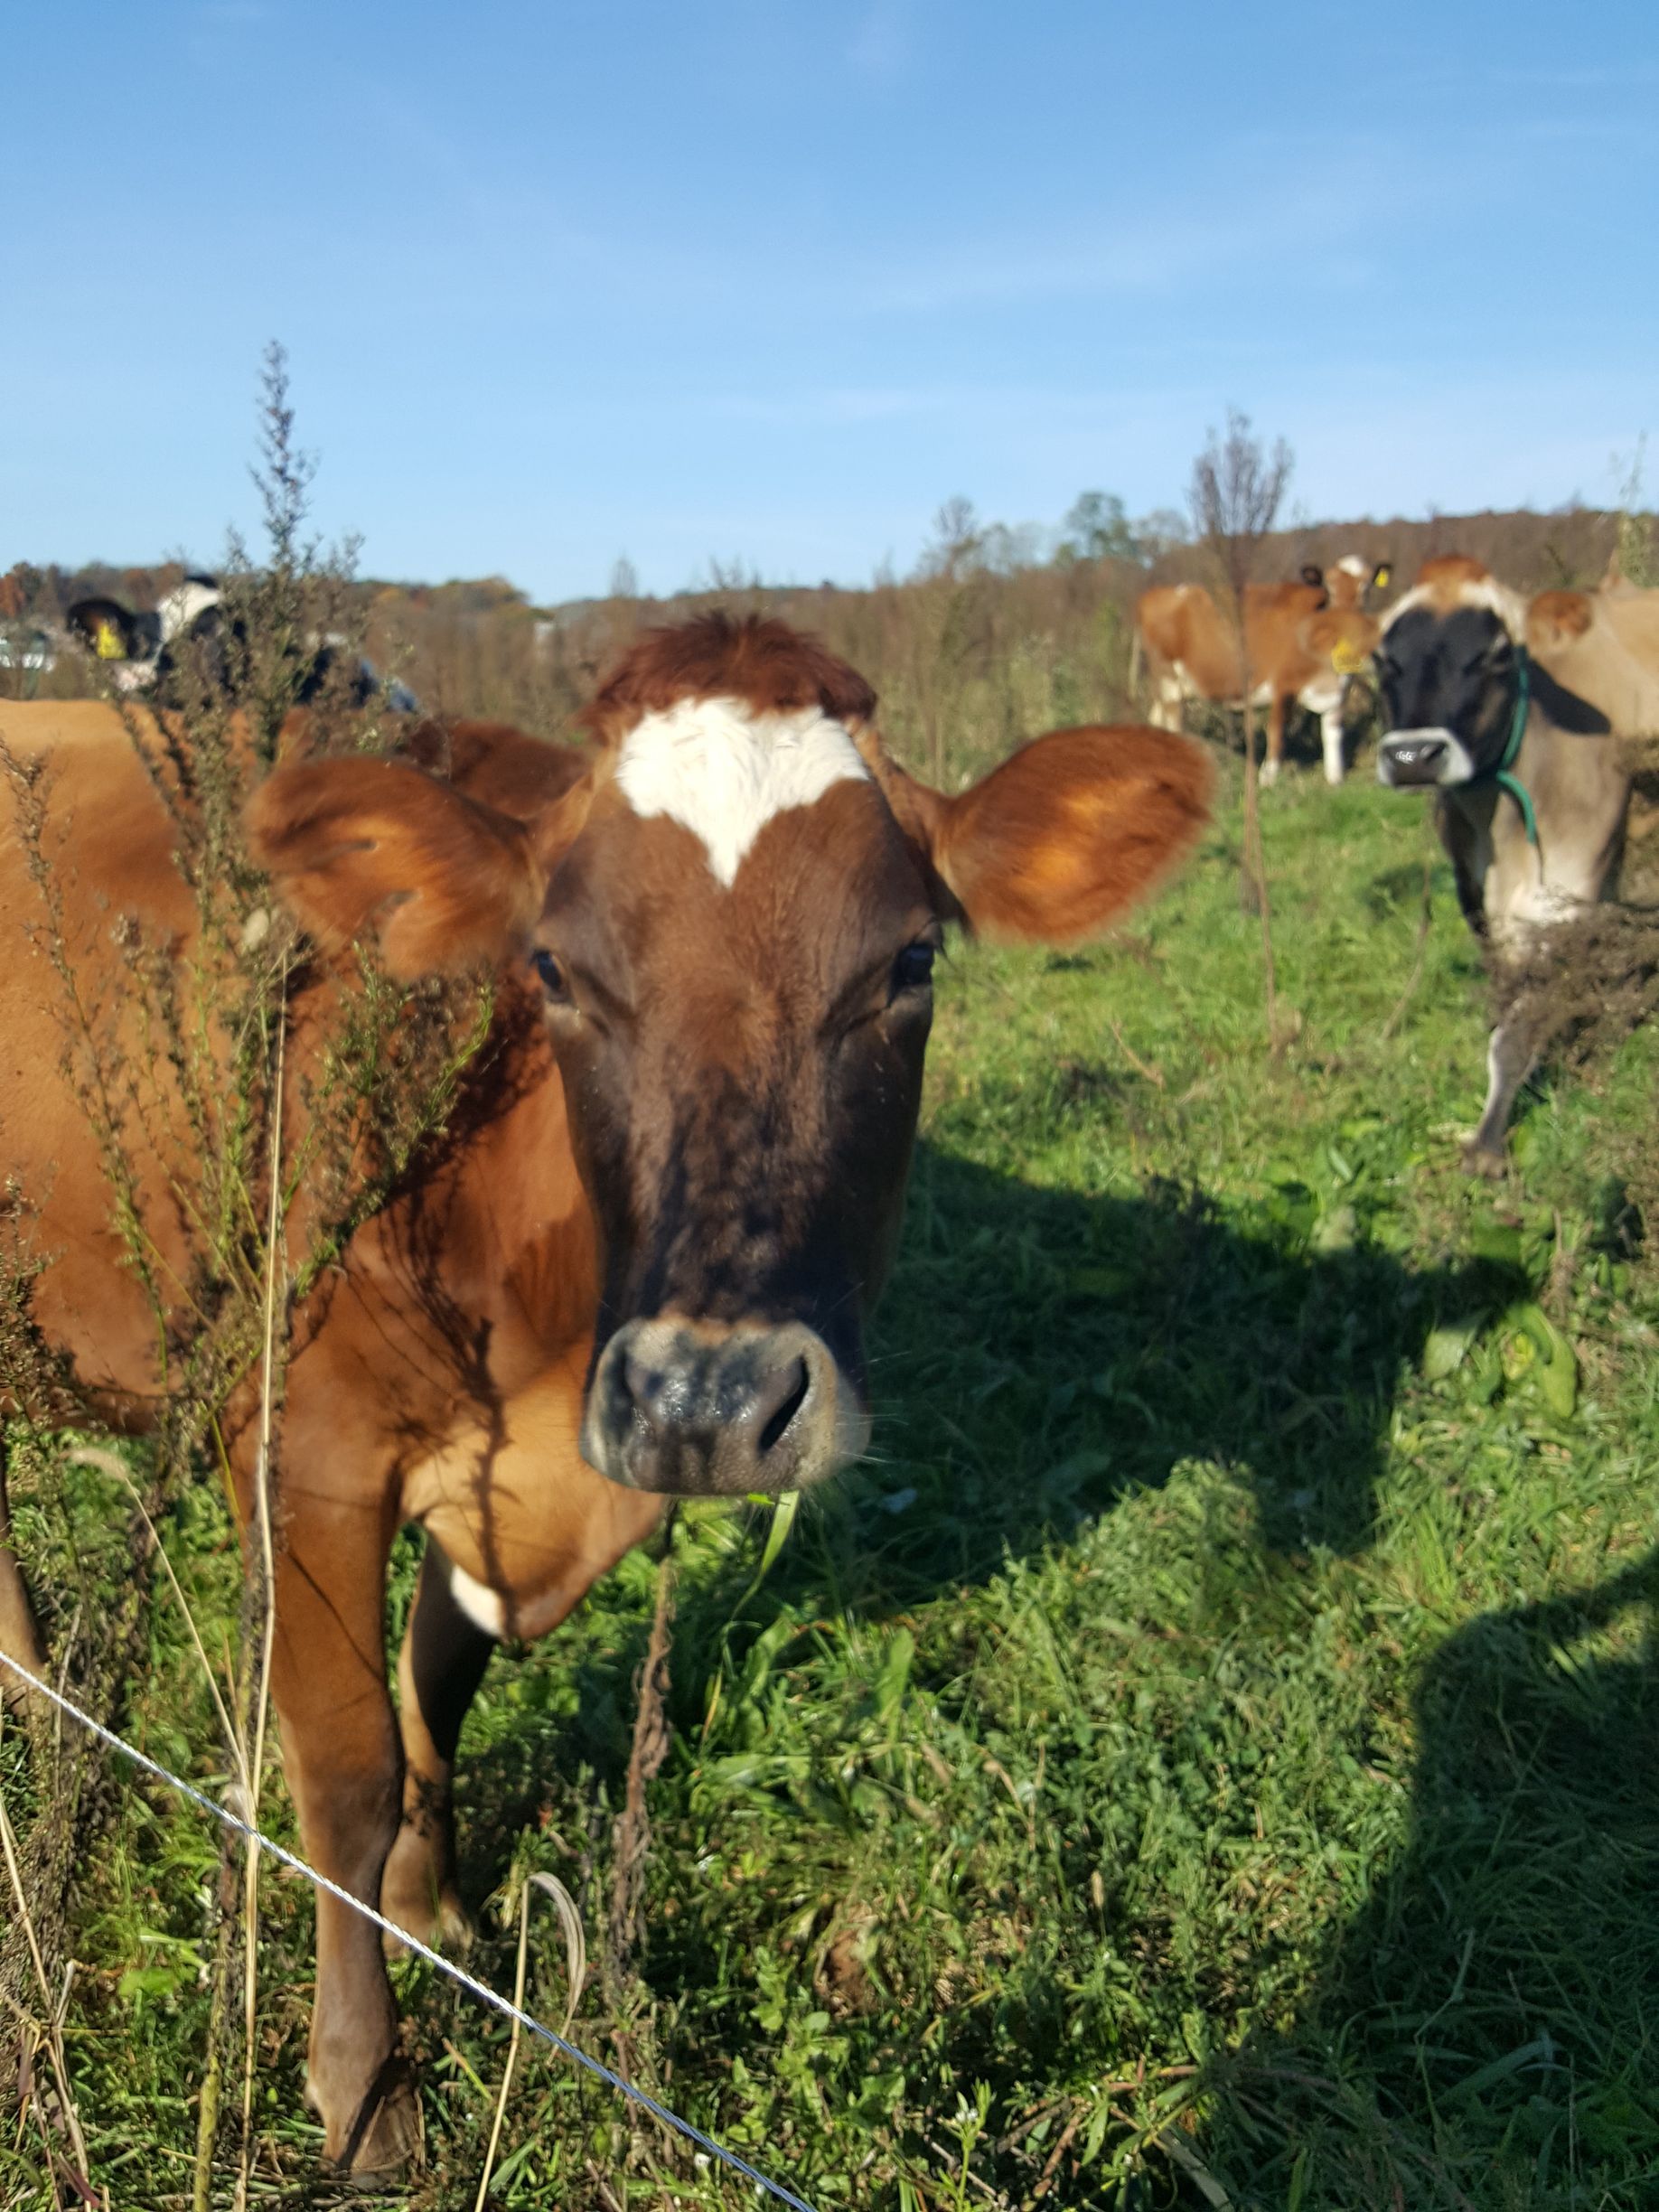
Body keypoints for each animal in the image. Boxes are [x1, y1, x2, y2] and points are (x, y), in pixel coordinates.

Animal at [0, 615, 1210, 2173]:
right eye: (557, 971)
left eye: (908, 963)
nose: (711, 1401)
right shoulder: (299, 1450)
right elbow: (345, 1768)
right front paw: (363, 2087)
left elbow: (439, 1687)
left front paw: (440, 1909)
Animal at [1134, 561, 1385, 786]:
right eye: (1329, 587)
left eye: (1366, 588)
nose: (1349, 622)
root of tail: (1159, 591)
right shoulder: (1283, 686)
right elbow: (1277, 732)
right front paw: (1268, 778)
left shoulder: (1340, 690)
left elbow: (1333, 733)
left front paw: (1335, 779)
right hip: (1168, 681)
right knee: (1173, 724)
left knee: (1156, 720)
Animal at [1374, 559, 1659, 1165]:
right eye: (1383, 659)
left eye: (1497, 656)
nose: (1413, 757)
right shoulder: (1476, 898)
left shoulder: (1564, 892)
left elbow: (1518, 1027)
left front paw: (1486, 1145)